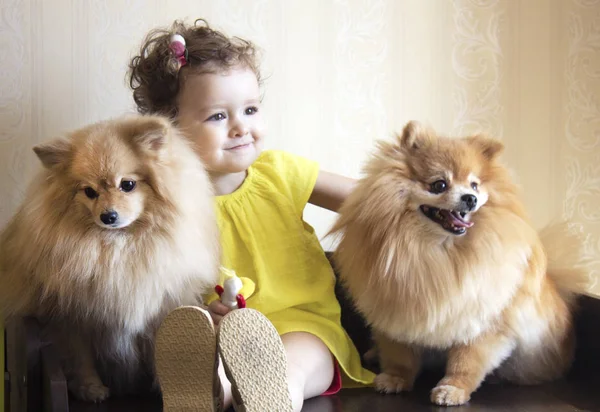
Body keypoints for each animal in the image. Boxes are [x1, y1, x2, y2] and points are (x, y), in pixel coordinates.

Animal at [0, 115, 220, 402]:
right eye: (89, 192)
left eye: (127, 185)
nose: (108, 216)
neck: (116, 248)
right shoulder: (72, 317)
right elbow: (80, 356)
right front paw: (90, 388)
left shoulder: (159, 309)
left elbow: (160, 350)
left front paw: (166, 389)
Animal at [332, 121, 592, 406]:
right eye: (440, 184)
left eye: (475, 185)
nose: (470, 198)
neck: (436, 250)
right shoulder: (396, 311)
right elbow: (399, 353)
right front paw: (395, 378)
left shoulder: (482, 320)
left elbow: (466, 361)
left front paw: (453, 389)